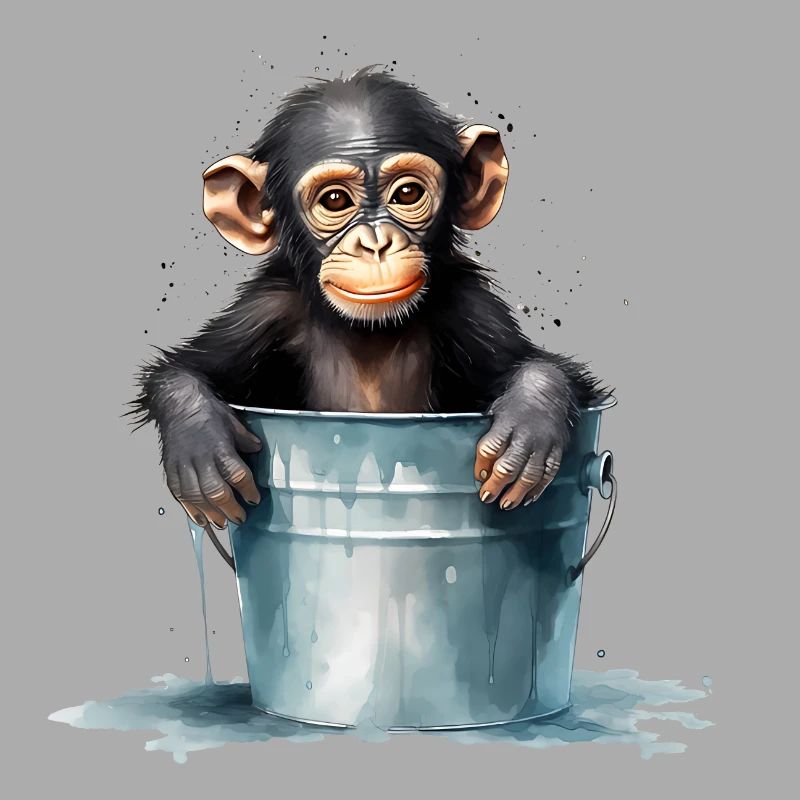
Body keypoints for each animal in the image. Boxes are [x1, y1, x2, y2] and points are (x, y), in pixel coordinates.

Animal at [131, 68, 608, 532]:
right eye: (335, 200)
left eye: (407, 195)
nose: (376, 244)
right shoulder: (264, 311)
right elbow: (188, 369)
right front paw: (199, 444)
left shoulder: (472, 309)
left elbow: (537, 365)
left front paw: (529, 421)